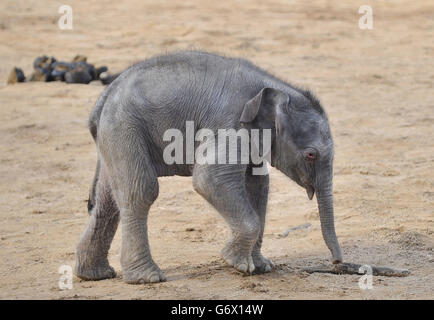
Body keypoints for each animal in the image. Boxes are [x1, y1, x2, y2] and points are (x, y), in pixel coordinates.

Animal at [74, 51, 340, 284]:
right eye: (311, 154)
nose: (338, 264)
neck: (274, 86)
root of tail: (103, 97)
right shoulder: (229, 122)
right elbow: (210, 179)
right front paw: (238, 264)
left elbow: (258, 186)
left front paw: (262, 267)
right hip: (124, 129)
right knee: (141, 191)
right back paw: (147, 278)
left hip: (114, 136)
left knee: (108, 200)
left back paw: (94, 275)